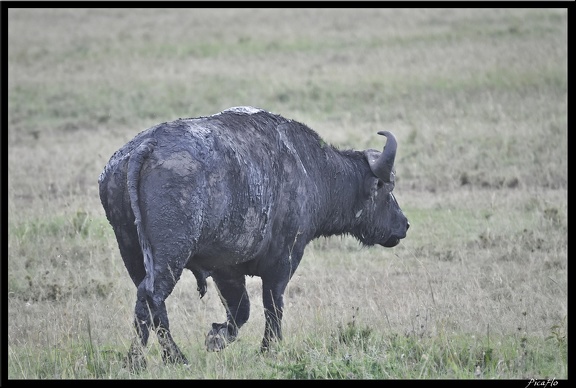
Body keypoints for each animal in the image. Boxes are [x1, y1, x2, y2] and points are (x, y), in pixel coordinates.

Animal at [97, 107, 408, 370]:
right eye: (386, 187)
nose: (403, 225)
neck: (310, 170)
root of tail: (146, 145)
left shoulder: (226, 270)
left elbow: (241, 311)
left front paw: (217, 336)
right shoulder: (284, 261)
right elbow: (272, 306)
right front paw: (268, 350)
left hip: (132, 252)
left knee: (150, 303)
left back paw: (164, 358)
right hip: (170, 256)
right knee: (151, 297)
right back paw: (149, 360)